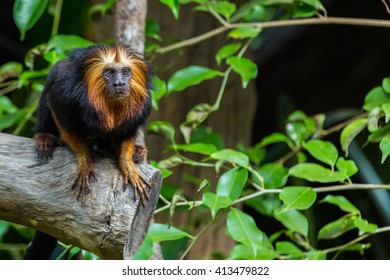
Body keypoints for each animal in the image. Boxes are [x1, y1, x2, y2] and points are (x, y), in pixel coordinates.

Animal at [34, 44, 152, 205]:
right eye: (109, 72)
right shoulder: (66, 94)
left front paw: (128, 165)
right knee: (56, 71)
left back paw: (136, 151)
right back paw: (45, 136)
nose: (119, 83)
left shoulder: (141, 106)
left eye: (126, 72)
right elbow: (57, 108)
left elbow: (127, 132)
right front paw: (85, 160)